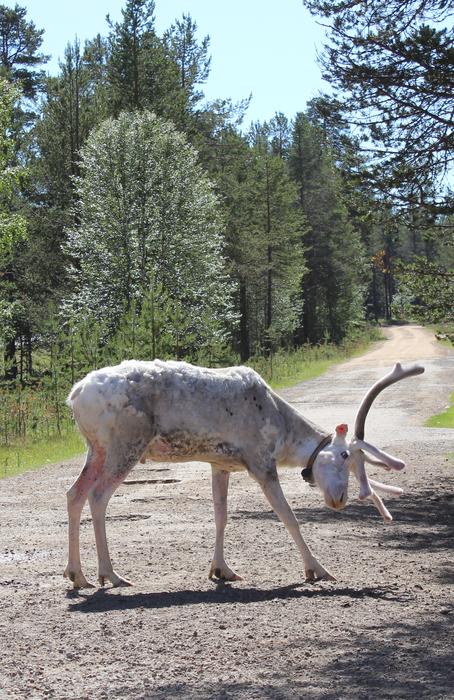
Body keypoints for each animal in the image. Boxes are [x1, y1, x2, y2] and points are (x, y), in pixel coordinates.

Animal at [64, 359, 424, 589]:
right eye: (345, 455)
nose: (340, 499)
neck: (283, 432)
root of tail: (75, 394)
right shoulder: (260, 459)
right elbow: (288, 516)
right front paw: (318, 570)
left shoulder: (220, 463)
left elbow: (221, 516)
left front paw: (222, 570)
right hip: (126, 443)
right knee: (98, 495)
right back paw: (110, 575)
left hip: (95, 448)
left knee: (74, 493)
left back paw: (77, 575)